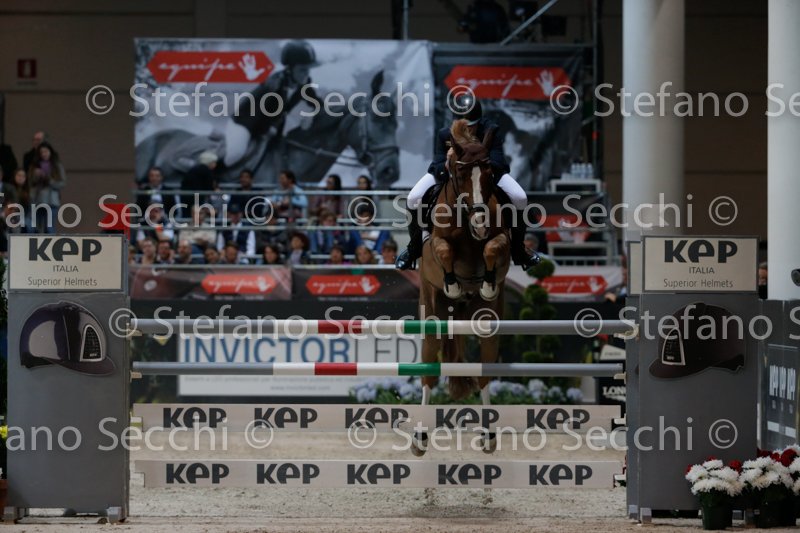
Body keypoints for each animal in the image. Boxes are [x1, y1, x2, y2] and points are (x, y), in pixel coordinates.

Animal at [412, 119, 511, 456]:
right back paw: (419, 438)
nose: (480, 222)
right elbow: (443, 250)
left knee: (484, 376)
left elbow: (494, 247)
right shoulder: (436, 245)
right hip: (431, 318)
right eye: (458, 173)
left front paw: (489, 284)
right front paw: (453, 285)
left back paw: (489, 437)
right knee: (428, 374)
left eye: (490, 173)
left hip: (488, 324)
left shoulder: (500, 239)